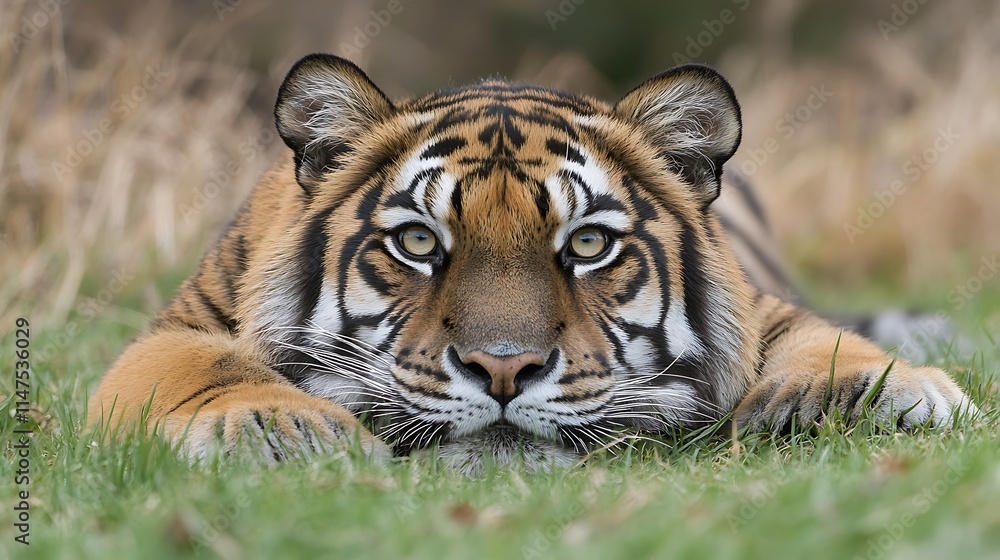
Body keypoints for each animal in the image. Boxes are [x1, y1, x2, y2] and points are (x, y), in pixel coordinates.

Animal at [88, 54, 977, 473]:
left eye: (587, 245)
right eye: (419, 242)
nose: (504, 370)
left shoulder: (766, 312)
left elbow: (822, 338)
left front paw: (870, 393)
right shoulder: (176, 328)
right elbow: (201, 368)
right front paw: (281, 426)